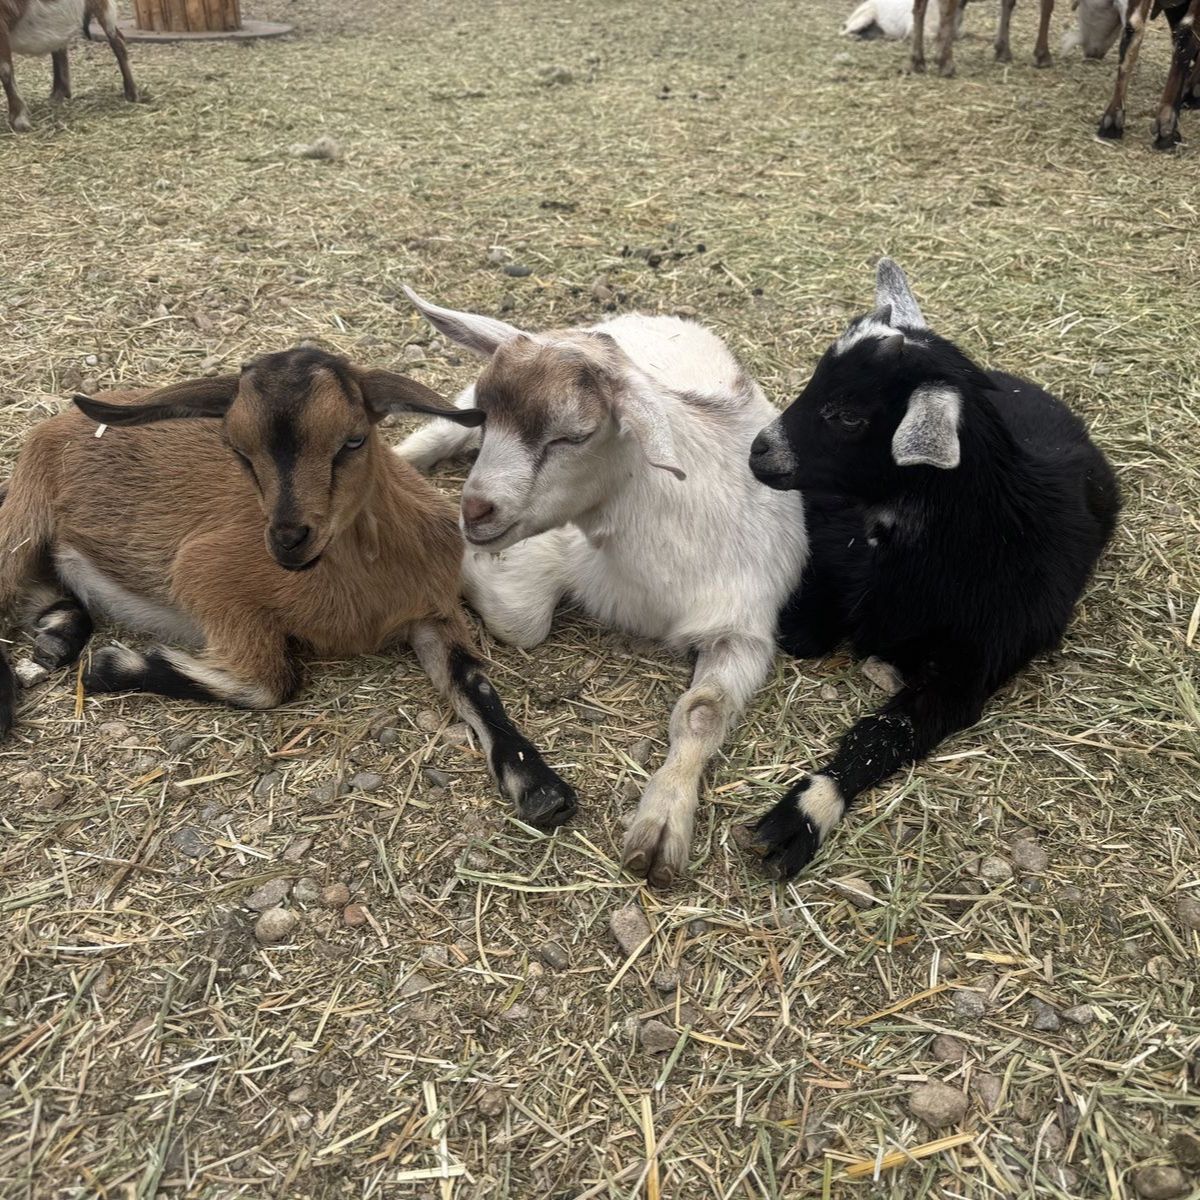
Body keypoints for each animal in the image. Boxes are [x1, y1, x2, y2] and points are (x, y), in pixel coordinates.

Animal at [0, 348, 577, 829]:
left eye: (354, 439)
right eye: (236, 449)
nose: (288, 539)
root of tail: (56, 424)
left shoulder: (431, 611)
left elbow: (473, 682)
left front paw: (541, 789)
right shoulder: (207, 577)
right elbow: (271, 683)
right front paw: (112, 666)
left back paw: (54, 643)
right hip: (24, 516)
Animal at [1, 0, 136, 132]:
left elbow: (5, 71)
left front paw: (19, 120)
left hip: (103, 6)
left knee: (117, 40)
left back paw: (132, 93)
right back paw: (58, 95)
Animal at [395, 292, 808, 887]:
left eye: (574, 435)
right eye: (489, 417)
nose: (473, 511)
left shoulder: (745, 630)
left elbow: (702, 712)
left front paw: (660, 827)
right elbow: (521, 619)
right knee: (433, 434)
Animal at [746, 259, 1119, 878]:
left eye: (849, 415)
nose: (757, 451)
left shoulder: (968, 673)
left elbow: (884, 731)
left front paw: (805, 812)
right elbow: (804, 630)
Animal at [912, 0, 1056, 75]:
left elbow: (1009, 2)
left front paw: (1002, 50)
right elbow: (1047, 6)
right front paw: (1043, 54)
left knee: (918, 8)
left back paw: (917, 61)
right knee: (946, 10)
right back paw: (945, 63)